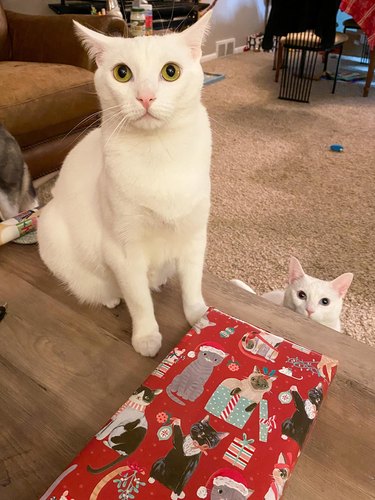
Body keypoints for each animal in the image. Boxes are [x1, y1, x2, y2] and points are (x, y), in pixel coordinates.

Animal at [39, 11, 214, 356]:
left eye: (170, 71)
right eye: (122, 73)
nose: (145, 97)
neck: (159, 153)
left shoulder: (193, 236)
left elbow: (192, 284)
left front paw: (200, 317)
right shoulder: (123, 251)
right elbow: (139, 300)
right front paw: (146, 337)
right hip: (51, 231)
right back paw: (110, 297)